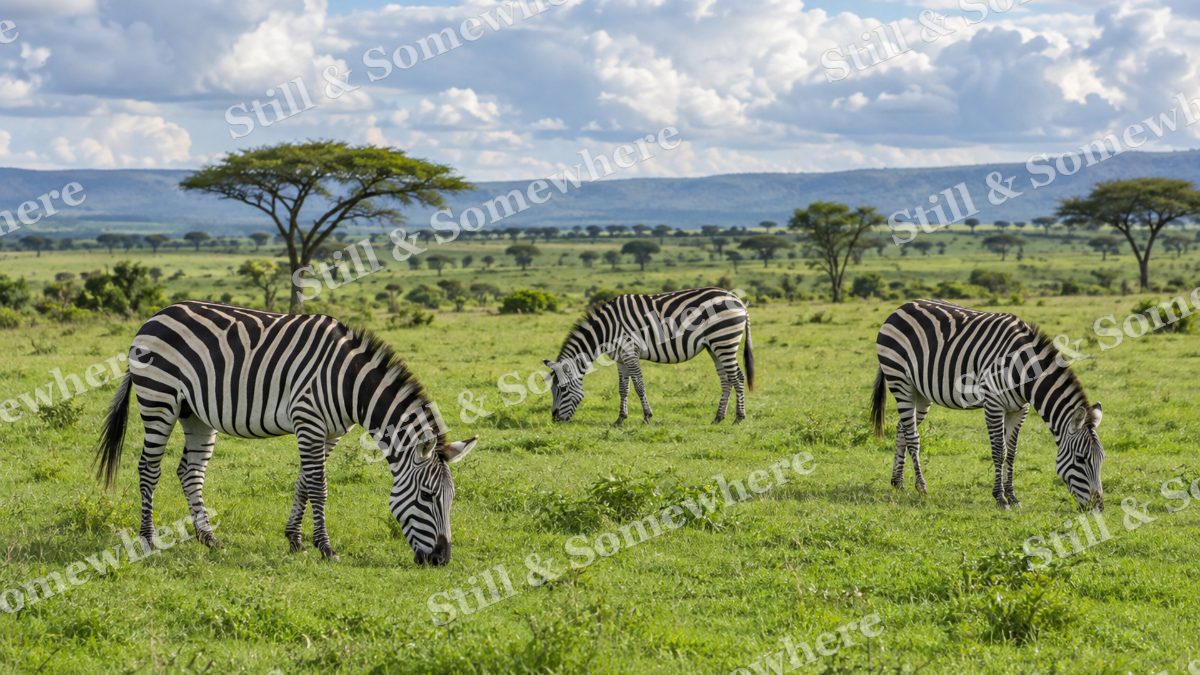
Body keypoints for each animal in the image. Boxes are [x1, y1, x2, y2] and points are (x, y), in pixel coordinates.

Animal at [95, 301, 477, 565]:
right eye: (427, 497)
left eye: (452, 499)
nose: (441, 560)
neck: (349, 383)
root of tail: (155, 316)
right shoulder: (309, 420)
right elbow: (319, 487)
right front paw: (325, 548)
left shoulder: (330, 432)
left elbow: (304, 482)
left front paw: (294, 539)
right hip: (158, 398)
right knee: (150, 468)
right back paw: (148, 540)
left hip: (195, 413)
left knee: (190, 471)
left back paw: (209, 538)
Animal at [544, 288, 754, 425]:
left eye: (562, 389)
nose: (555, 419)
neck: (607, 329)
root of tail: (738, 300)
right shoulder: (620, 358)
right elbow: (623, 389)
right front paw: (620, 419)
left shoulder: (630, 352)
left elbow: (639, 385)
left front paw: (647, 416)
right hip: (715, 347)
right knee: (726, 380)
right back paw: (718, 417)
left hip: (725, 340)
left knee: (738, 378)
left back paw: (739, 418)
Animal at [872, 299, 1105, 510]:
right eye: (1081, 459)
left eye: (1102, 459)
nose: (1098, 507)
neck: (1023, 370)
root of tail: (901, 307)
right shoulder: (993, 404)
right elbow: (999, 451)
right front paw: (1000, 497)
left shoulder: (1019, 409)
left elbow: (1012, 452)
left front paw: (1012, 496)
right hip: (900, 381)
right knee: (912, 436)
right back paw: (921, 486)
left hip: (920, 392)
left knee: (902, 428)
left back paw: (898, 482)